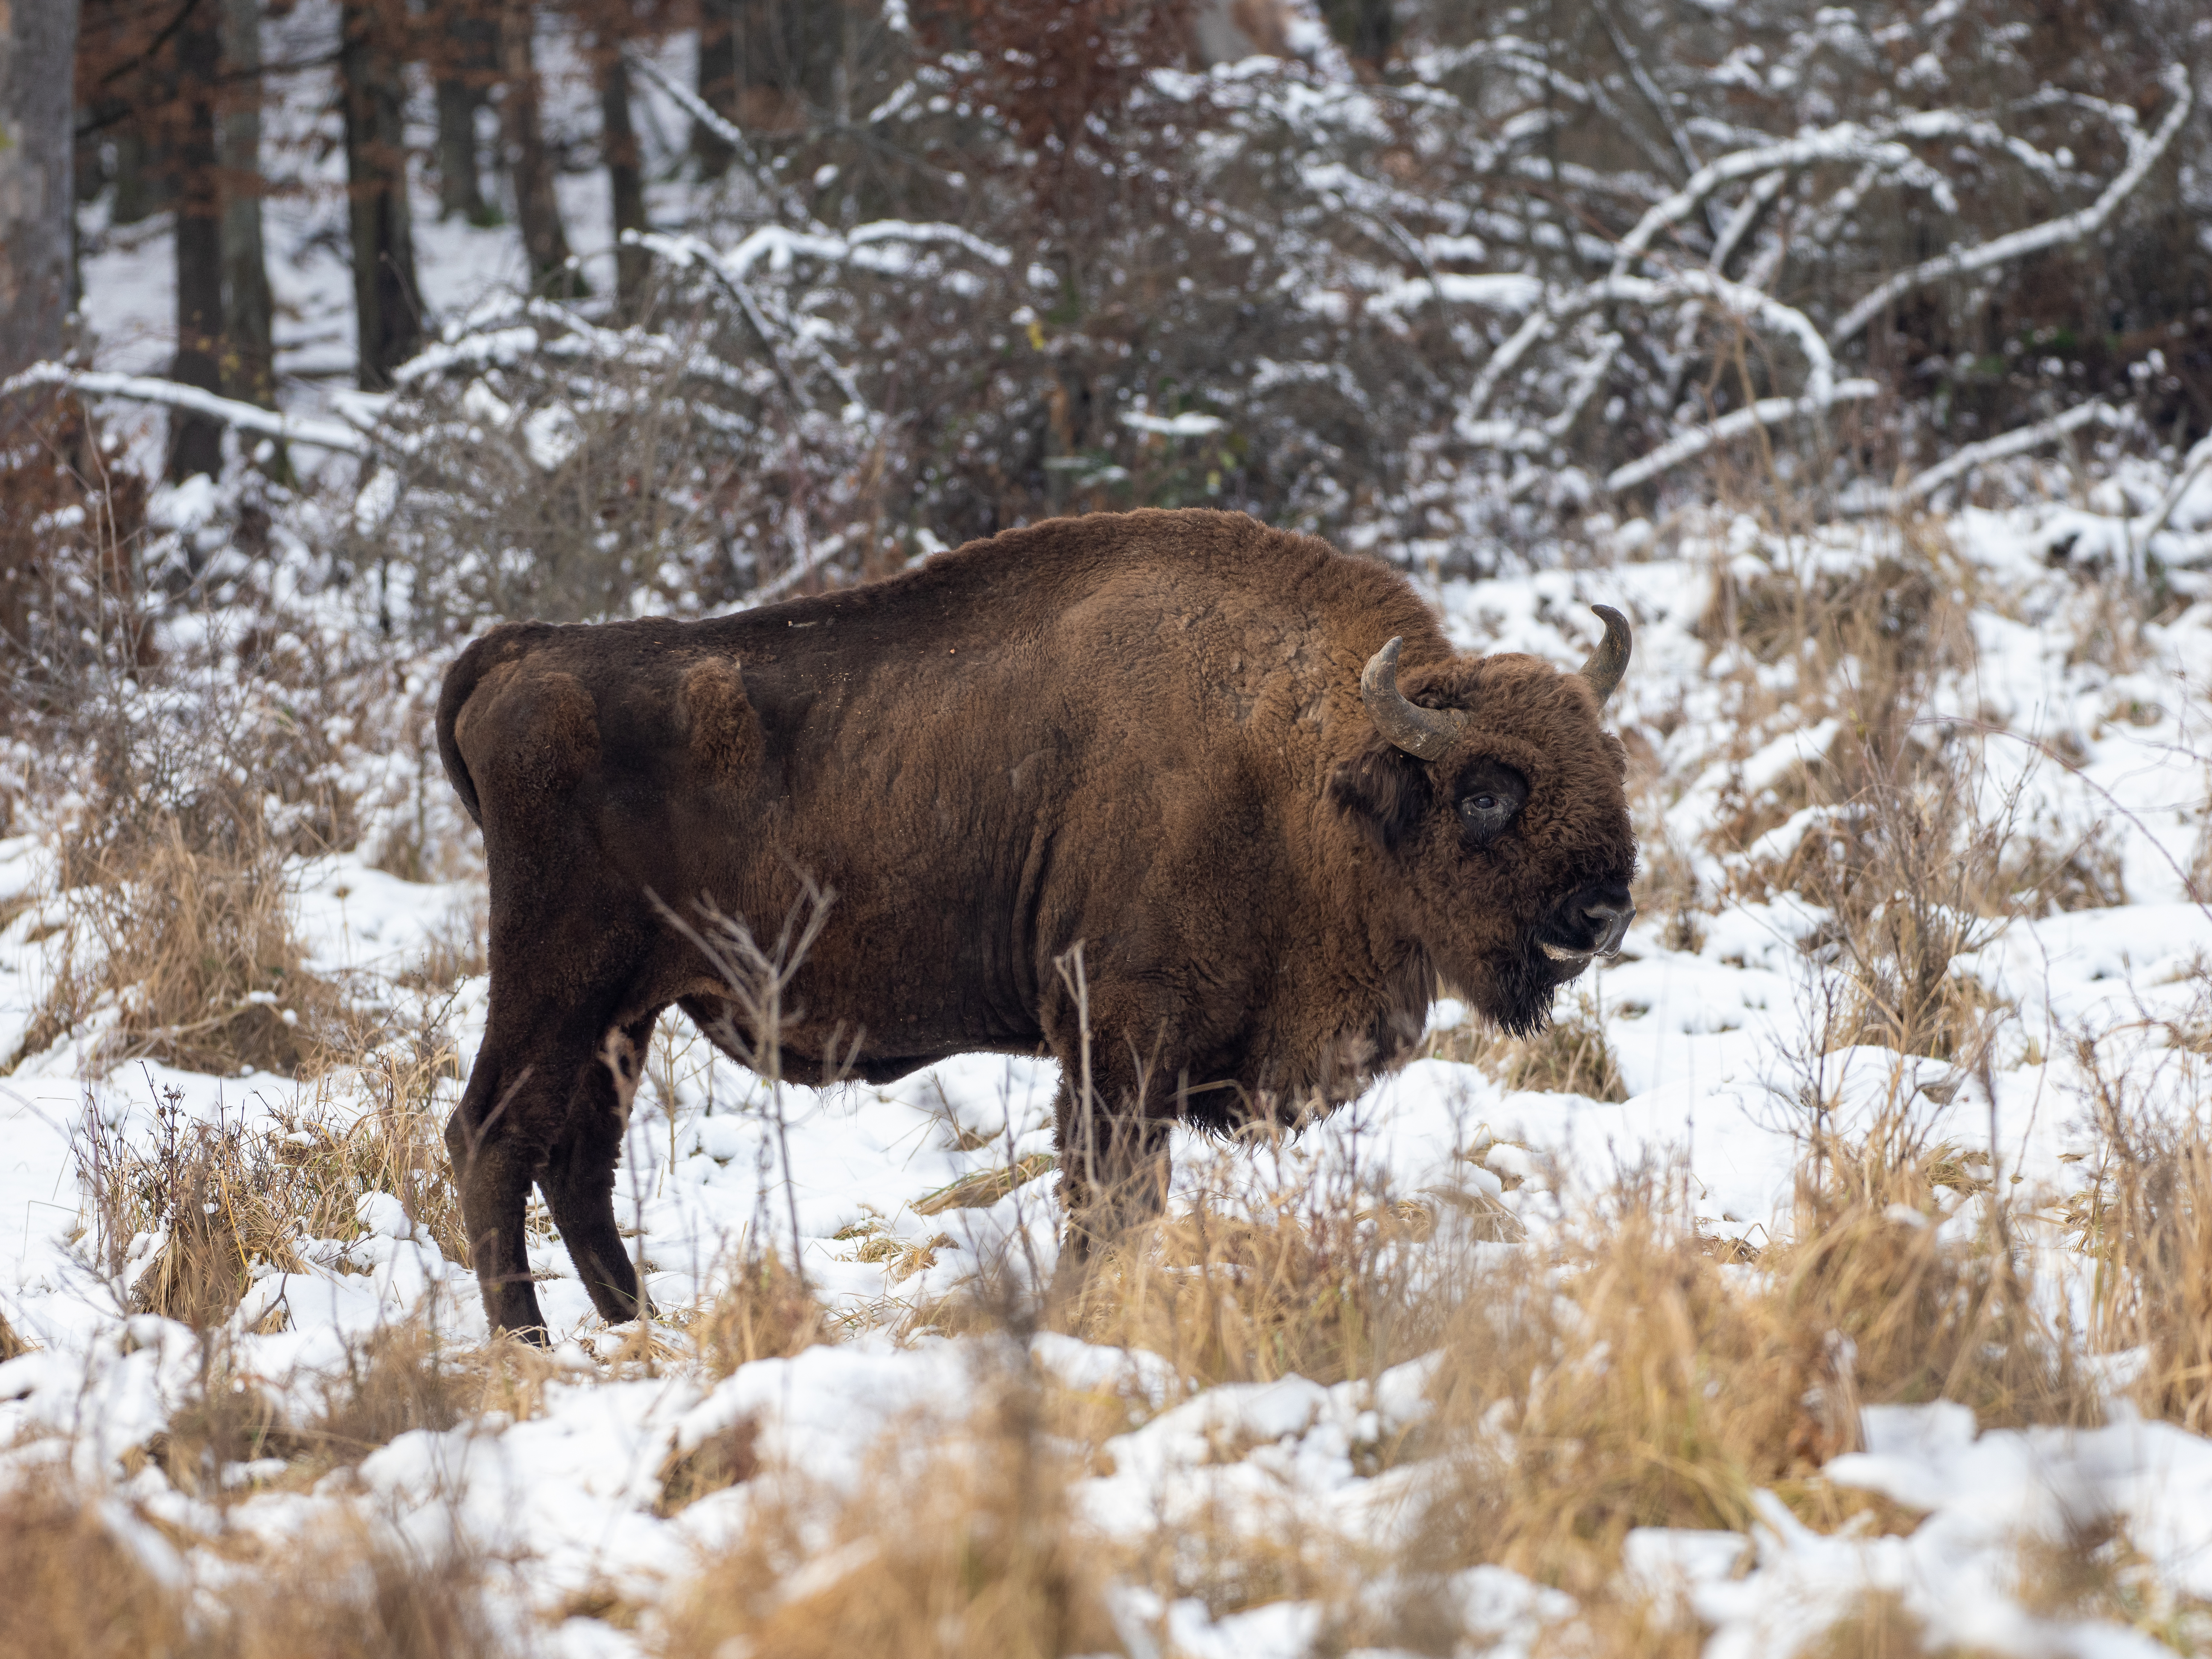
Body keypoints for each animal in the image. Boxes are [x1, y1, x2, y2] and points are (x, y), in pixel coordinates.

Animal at [436, 507, 1636, 1336]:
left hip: (624, 1012)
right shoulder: (1116, 1038)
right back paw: (532, 1349)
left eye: (1609, 764)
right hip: (559, 981)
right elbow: (1106, 1198)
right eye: (1486, 793)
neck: (1302, 762)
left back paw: (645, 1331)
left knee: (575, 1159)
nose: (1604, 909)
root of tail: (522, 654)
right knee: (493, 1138)